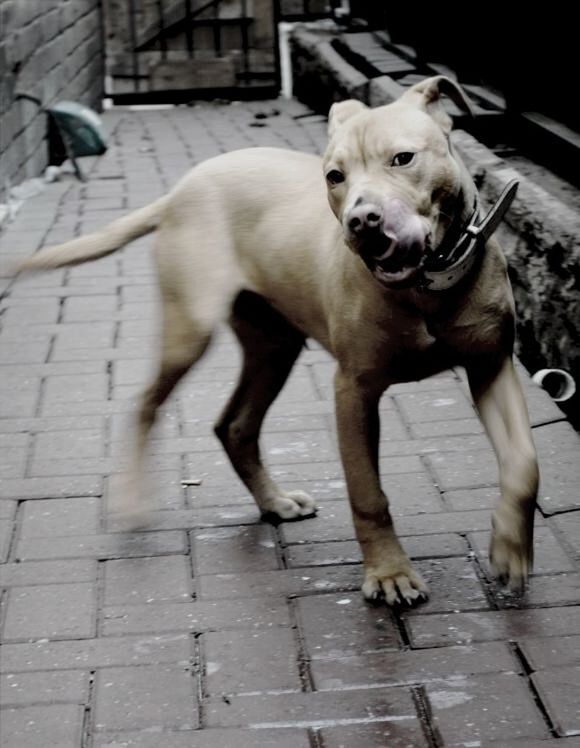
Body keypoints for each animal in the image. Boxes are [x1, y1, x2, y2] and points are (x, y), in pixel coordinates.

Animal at [19, 76, 544, 604]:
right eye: (335, 176)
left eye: (403, 159)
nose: (362, 221)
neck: (427, 286)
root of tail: (182, 189)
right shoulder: (353, 391)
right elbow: (367, 494)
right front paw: (389, 573)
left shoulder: (492, 367)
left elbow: (524, 464)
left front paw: (509, 550)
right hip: (190, 330)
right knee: (146, 404)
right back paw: (133, 502)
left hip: (274, 346)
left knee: (234, 425)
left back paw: (273, 502)